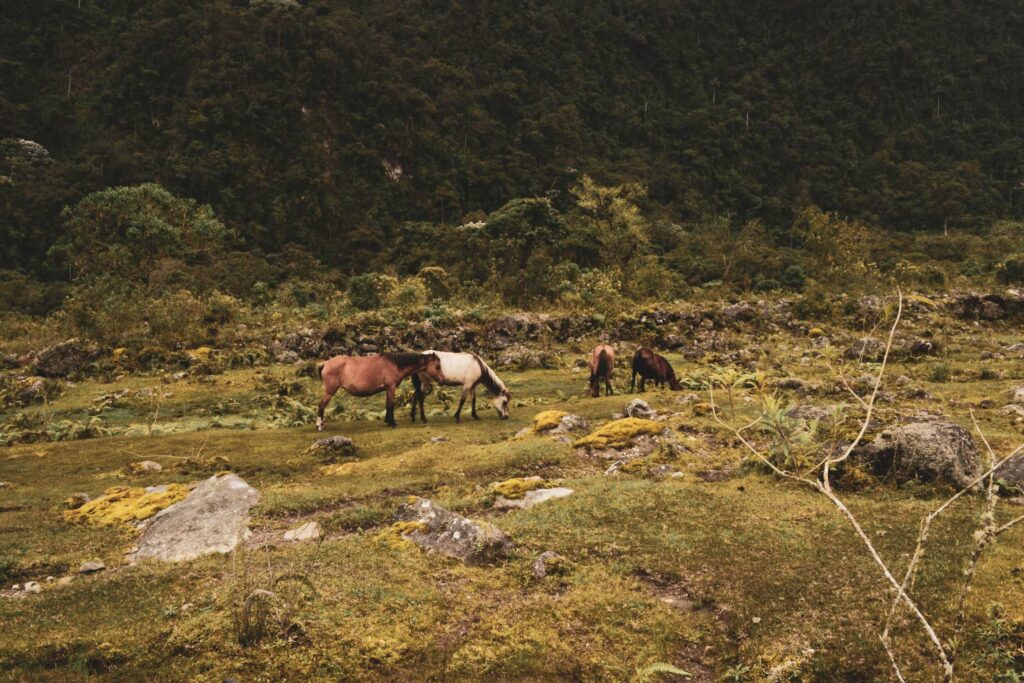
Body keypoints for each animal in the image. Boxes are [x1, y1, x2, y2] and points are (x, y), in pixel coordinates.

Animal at [311, 352, 440, 432]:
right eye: (438, 366)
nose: (441, 380)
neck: (394, 364)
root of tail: (325, 363)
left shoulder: (388, 389)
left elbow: (387, 405)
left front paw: (387, 421)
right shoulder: (391, 387)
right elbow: (391, 405)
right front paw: (392, 423)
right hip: (329, 392)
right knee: (321, 406)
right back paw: (319, 426)